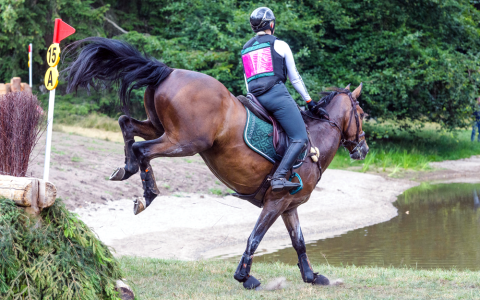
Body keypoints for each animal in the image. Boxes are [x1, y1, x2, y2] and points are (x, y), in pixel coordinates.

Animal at [63, 37, 370, 288]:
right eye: (362, 114)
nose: (363, 149)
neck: (314, 140)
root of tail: (169, 71)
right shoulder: (276, 201)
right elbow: (255, 236)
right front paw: (245, 277)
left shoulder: (288, 206)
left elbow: (300, 241)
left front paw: (310, 276)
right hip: (185, 141)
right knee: (142, 149)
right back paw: (148, 193)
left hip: (159, 127)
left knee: (126, 123)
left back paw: (126, 170)